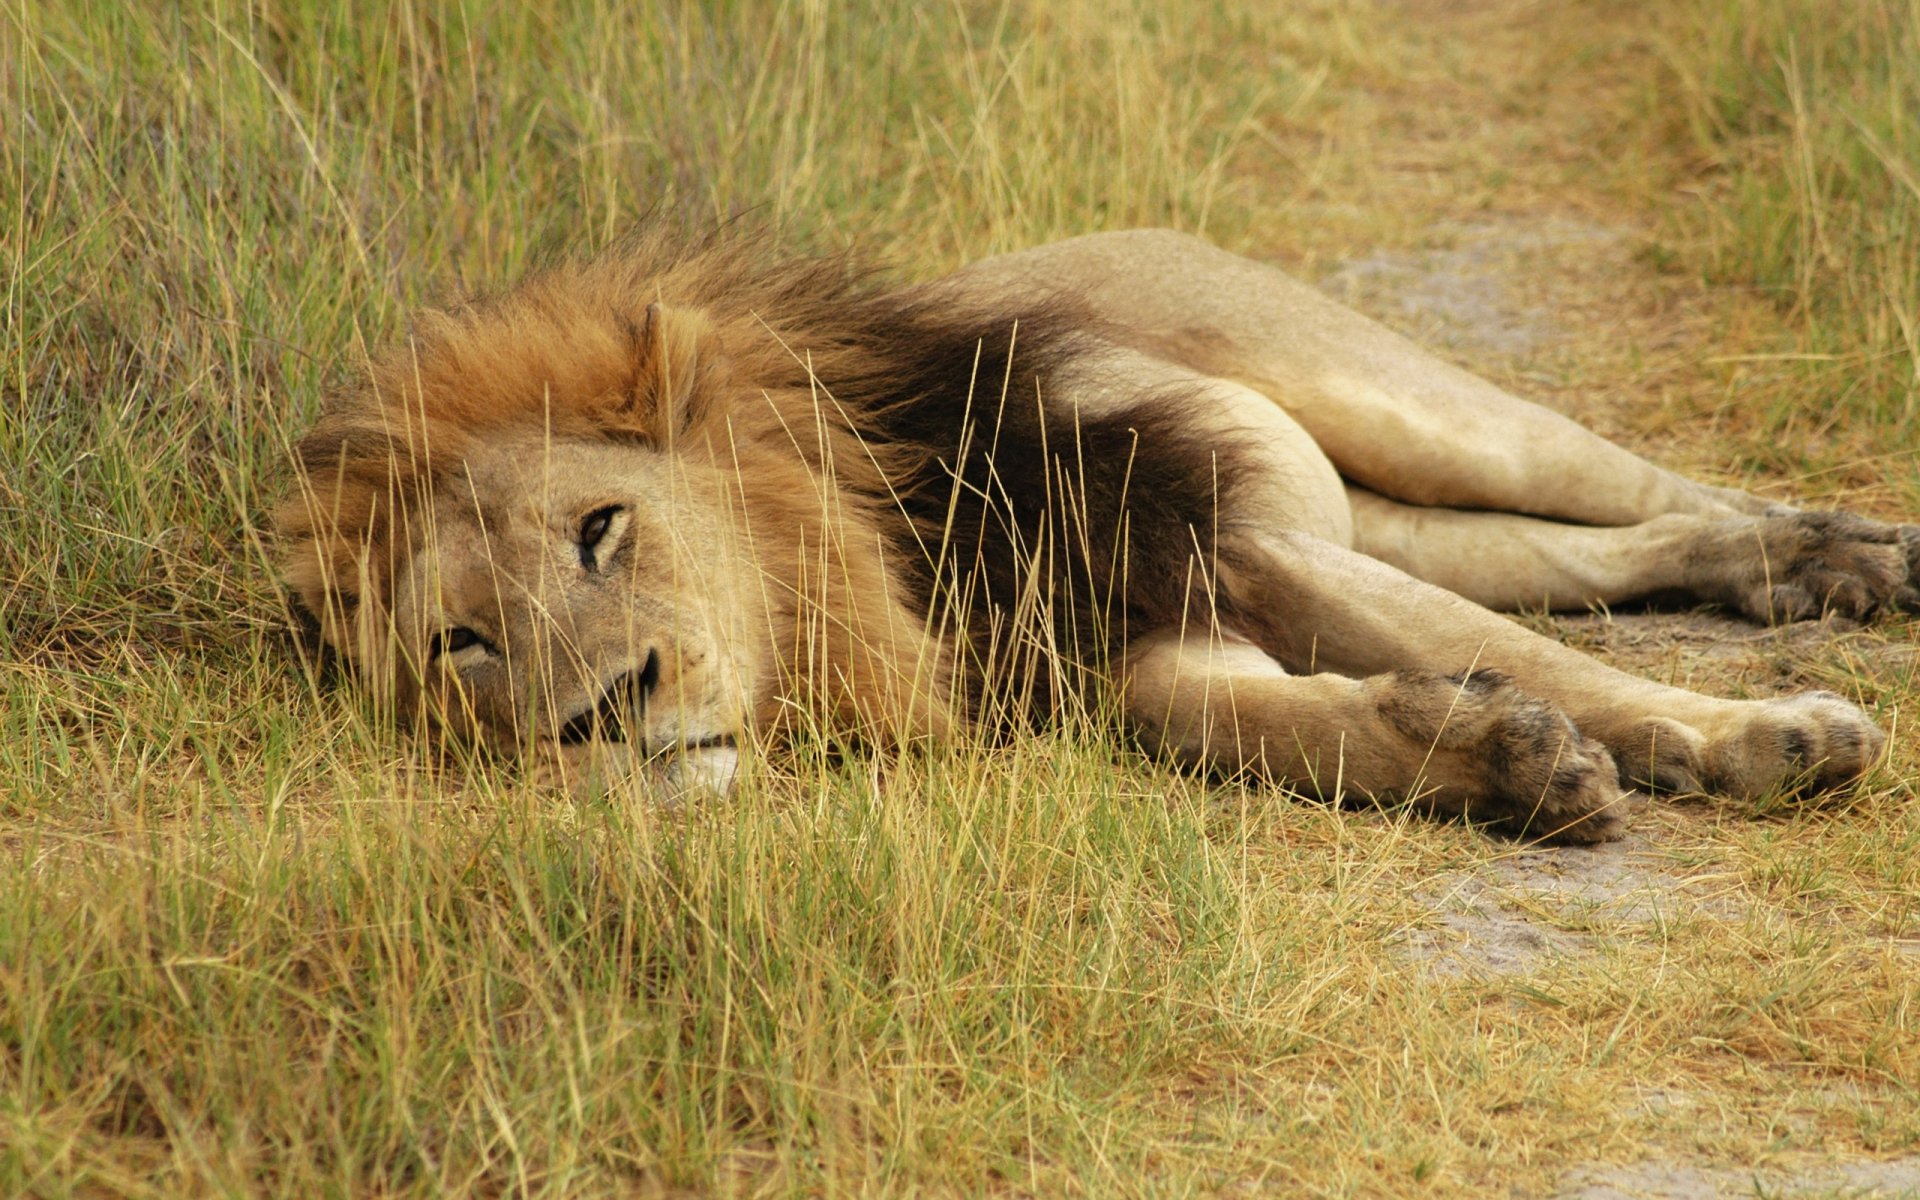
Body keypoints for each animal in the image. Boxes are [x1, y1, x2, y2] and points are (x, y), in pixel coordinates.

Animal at [278, 228, 1918, 842]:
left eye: (601, 529)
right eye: (463, 646)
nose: (601, 715)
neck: (868, 580)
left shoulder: (1215, 541)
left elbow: (1569, 671)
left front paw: (1768, 741)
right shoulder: (1130, 656)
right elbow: (1289, 724)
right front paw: (1500, 758)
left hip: (1406, 407)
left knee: (1644, 490)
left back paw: (1853, 558)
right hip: (1385, 507)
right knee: (1594, 557)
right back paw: (1800, 574)